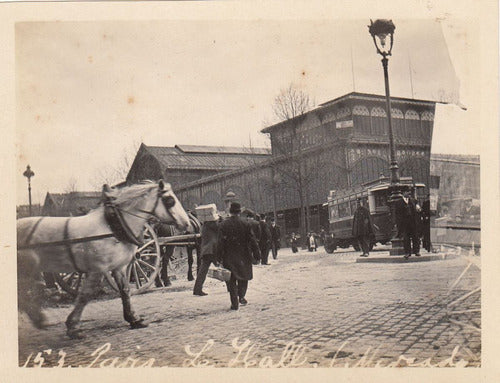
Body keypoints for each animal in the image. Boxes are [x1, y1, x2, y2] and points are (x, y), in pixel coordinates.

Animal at [17, 180, 189, 340]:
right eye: (170, 200)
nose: (186, 223)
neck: (111, 227)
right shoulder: (98, 269)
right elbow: (85, 295)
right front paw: (73, 326)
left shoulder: (119, 267)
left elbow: (125, 290)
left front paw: (133, 319)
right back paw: (39, 319)